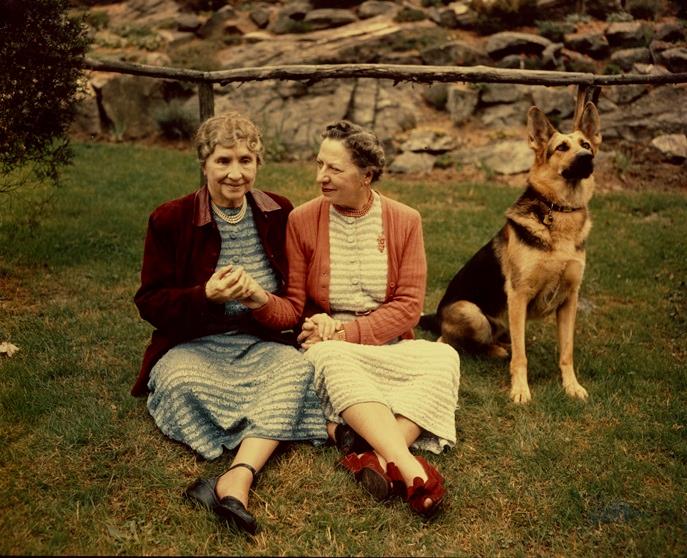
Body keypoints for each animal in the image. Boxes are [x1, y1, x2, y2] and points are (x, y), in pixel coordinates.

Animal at [420, 103, 600, 404]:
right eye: (561, 147)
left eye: (586, 144)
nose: (587, 158)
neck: (560, 211)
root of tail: (438, 316)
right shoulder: (518, 296)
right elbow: (521, 357)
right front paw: (520, 390)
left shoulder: (569, 300)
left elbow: (566, 352)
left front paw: (571, 386)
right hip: (471, 312)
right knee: (456, 343)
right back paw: (494, 350)